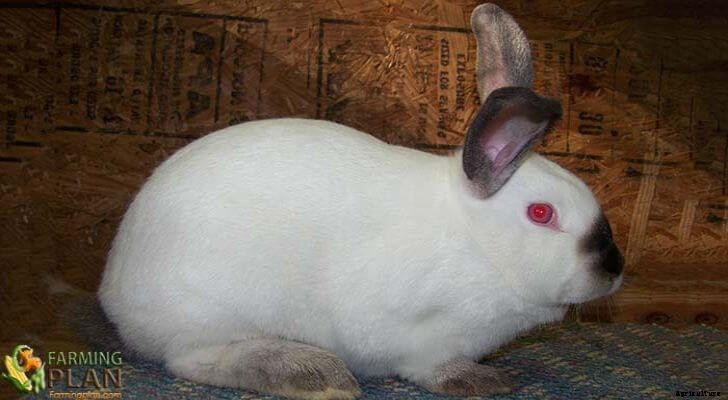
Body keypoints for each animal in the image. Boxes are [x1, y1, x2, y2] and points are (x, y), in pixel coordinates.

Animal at [98, 3, 624, 399]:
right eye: (542, 214)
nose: (614, 270)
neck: (476, 244)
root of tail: (114, 291)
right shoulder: (419, 334)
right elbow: (428, 367)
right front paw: (481, 381)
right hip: (215, 310)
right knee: (193, 360)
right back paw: (312, 373)